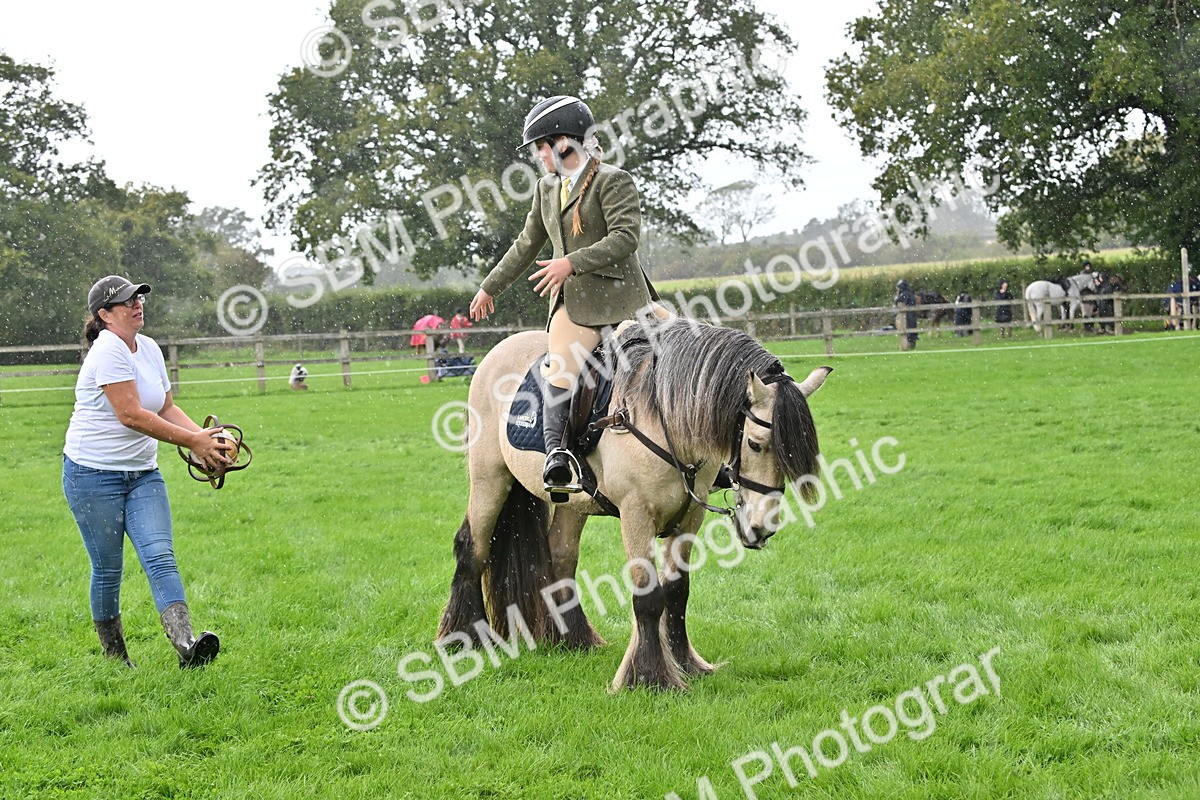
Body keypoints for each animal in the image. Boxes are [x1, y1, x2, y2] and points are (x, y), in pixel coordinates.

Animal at [437, 318, 829, 692]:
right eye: (756, 444)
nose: (760, 527)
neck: (662, 417)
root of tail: (499, 350)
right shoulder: (636, 515)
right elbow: (648, 596)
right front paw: (650, 676)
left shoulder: (690, 516)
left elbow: (677, 591)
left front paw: (686, 664)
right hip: (490, 479)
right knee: (472, 547)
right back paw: (463, 637)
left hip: (570, 503)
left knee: (560, 557)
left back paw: (573, 638)